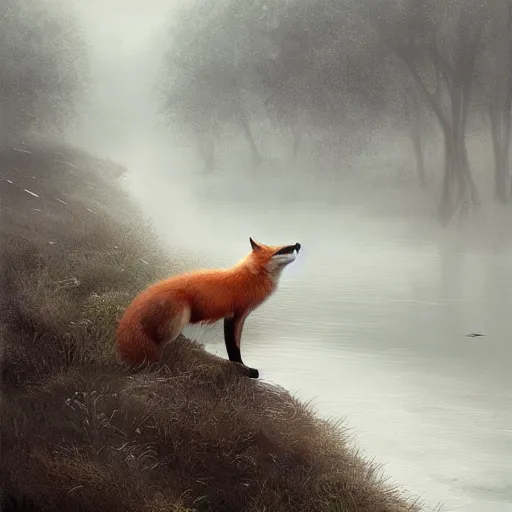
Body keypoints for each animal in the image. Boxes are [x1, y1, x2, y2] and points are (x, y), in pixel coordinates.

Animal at [116, 238, 300, 378]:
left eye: (288, 246)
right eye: (283, 249)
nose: (298, 244)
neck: (251, 276)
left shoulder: (237, 316)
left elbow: (234, 347)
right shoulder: (236, 315)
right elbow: (234, 347)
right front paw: (244, 370)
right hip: (179, 318)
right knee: (159, 347)